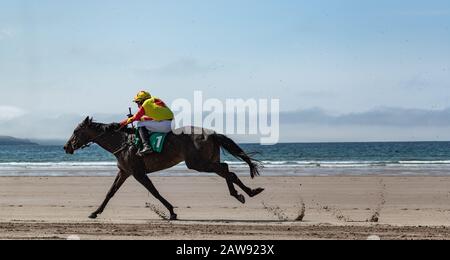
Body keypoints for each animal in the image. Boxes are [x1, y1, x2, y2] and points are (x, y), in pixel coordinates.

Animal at [63, 117, 264, 220]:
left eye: (75, 131)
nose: (66, 147)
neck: (122, 141)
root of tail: (212, 133)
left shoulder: (138, 173)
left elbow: (155, 192)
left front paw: (172, 211)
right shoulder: (125, 172)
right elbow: (110, 192)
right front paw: (95, 212)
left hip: (198, 163)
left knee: (227, 171)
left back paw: (245, 192)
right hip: (206, 161)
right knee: (226, 170)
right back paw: (244, 193)